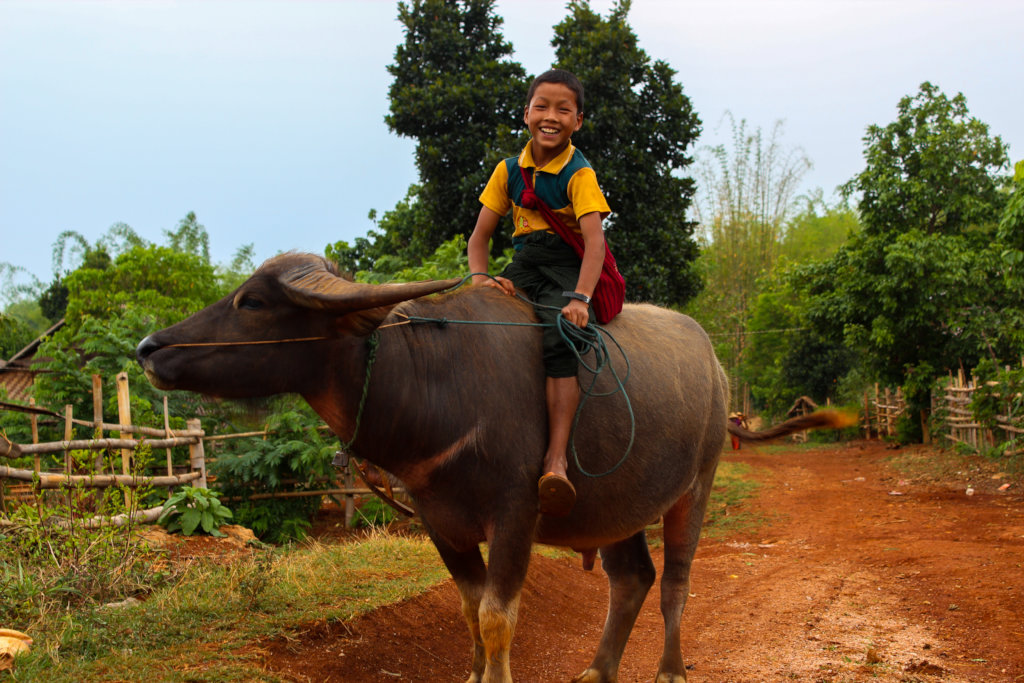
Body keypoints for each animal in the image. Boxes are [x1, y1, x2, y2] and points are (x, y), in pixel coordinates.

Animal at [140, 252, 851, 683]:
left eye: (253, 302)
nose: (149, 347)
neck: (432, 385)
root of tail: (717, 366)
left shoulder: (515, 514)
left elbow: (497, 616)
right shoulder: (440, 522)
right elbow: (468, 610)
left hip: (695, 486)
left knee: (675, 581)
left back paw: (670, 668)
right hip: (614, 507)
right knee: (632, 579)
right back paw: (598, 669)